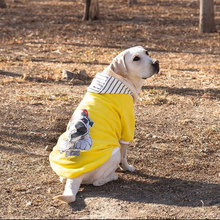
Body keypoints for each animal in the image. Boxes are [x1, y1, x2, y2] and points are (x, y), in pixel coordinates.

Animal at [49, 45, 160, 204]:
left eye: (147, 53)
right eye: (136, 58)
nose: (156, 62)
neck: (120, 78)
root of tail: (74, 178)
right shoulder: (126, 128)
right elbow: (124, 156)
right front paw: (127, 168)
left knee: (64, 179)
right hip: (114, 151)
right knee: (97, 182)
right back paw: (113, 176)